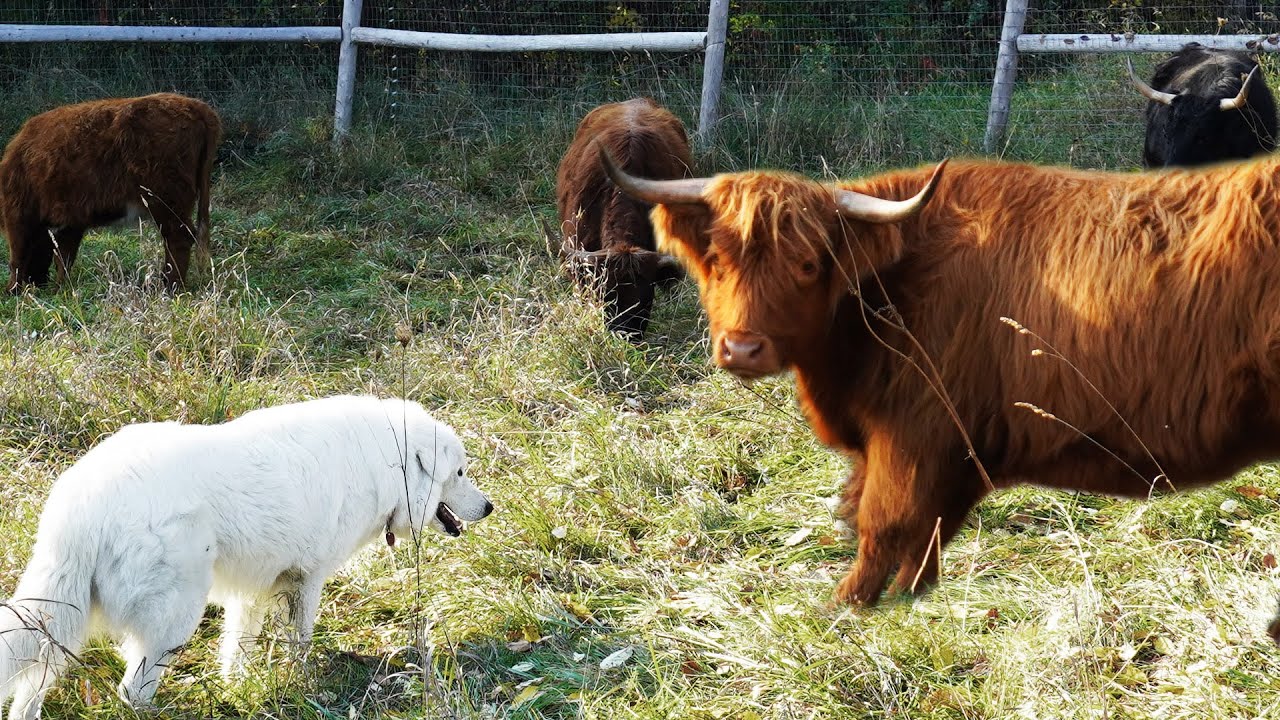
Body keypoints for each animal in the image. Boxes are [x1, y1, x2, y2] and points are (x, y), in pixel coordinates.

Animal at [0, 92, 222, 293]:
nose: (37, 283)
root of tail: (196, 106)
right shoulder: (71, 219)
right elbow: (63, 256)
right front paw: (60, 288)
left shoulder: (19, 212)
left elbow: (19, 254)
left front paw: (13, 290)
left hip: (165, 199)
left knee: (179, 237)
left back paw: (170, 286)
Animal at [602, 147, 1280, 625]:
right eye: (718, 258)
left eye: (808, 264)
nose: (742, 348)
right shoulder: (951, 448)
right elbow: (923, 531)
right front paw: (910, 598)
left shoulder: (915, 431)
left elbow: (881, 522)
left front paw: (845, 605)